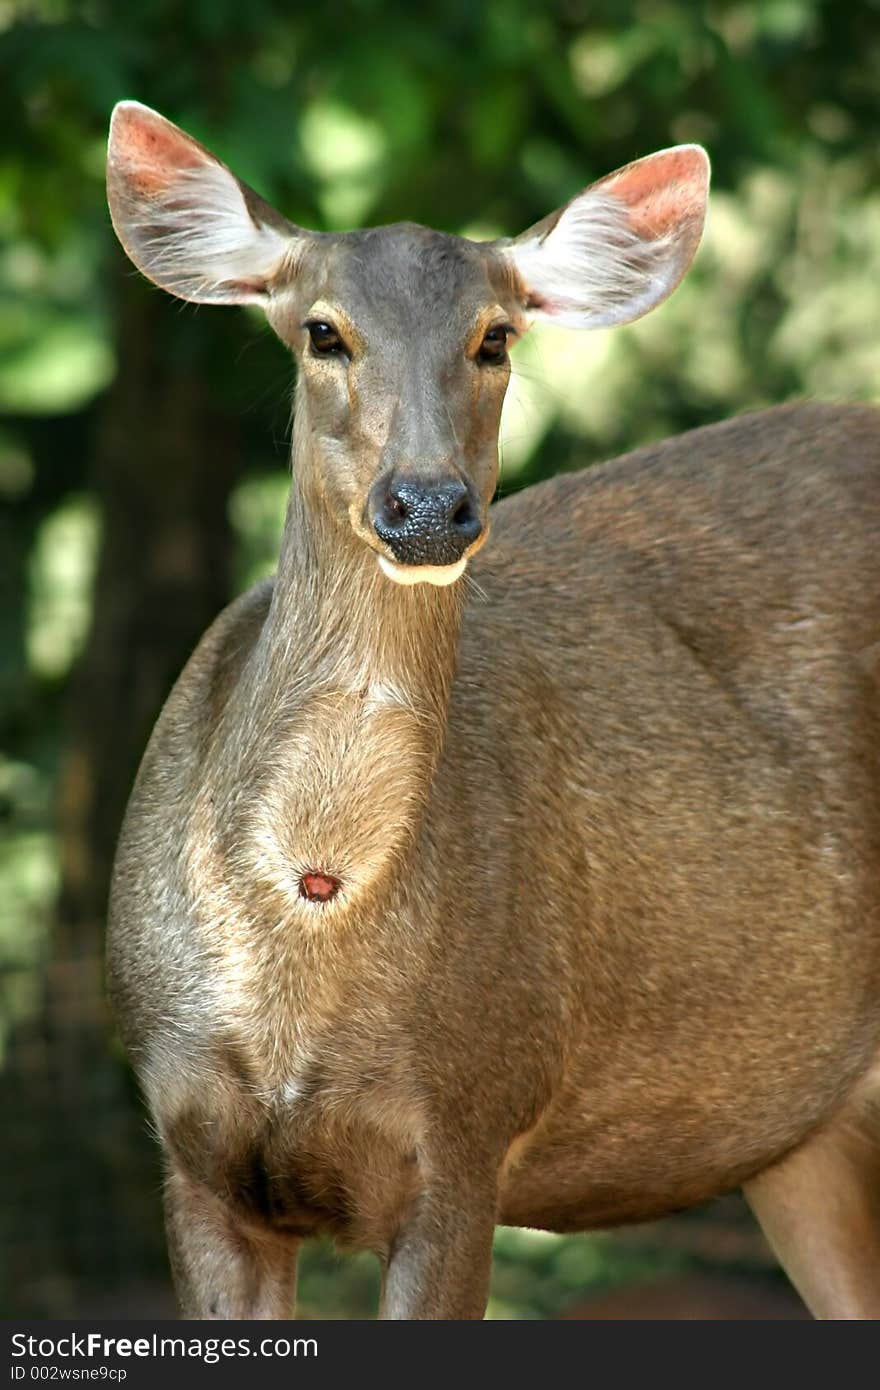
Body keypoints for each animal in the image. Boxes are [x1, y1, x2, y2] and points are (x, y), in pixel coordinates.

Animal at [104, 102, 878, 1317]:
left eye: (496, 337)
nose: (427, 505)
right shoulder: (194, 1154)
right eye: (322, 332)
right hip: (804, 1135)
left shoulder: (468, 1126)